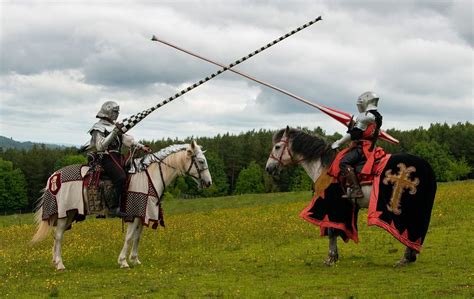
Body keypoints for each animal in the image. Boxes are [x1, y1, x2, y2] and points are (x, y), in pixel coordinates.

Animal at [31, 142, 211, 270]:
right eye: (201, 161)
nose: (209, 183)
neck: (149, 177)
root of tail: (54, 177)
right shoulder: (133, 214)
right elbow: (129, 237)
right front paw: (123, 261)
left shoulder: (142, 214)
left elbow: (137, 237)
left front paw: (135, 259)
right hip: (64, 212)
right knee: (59, 236)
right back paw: (60, 264)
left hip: (70, 213)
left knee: (57, 235)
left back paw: (55, 261)